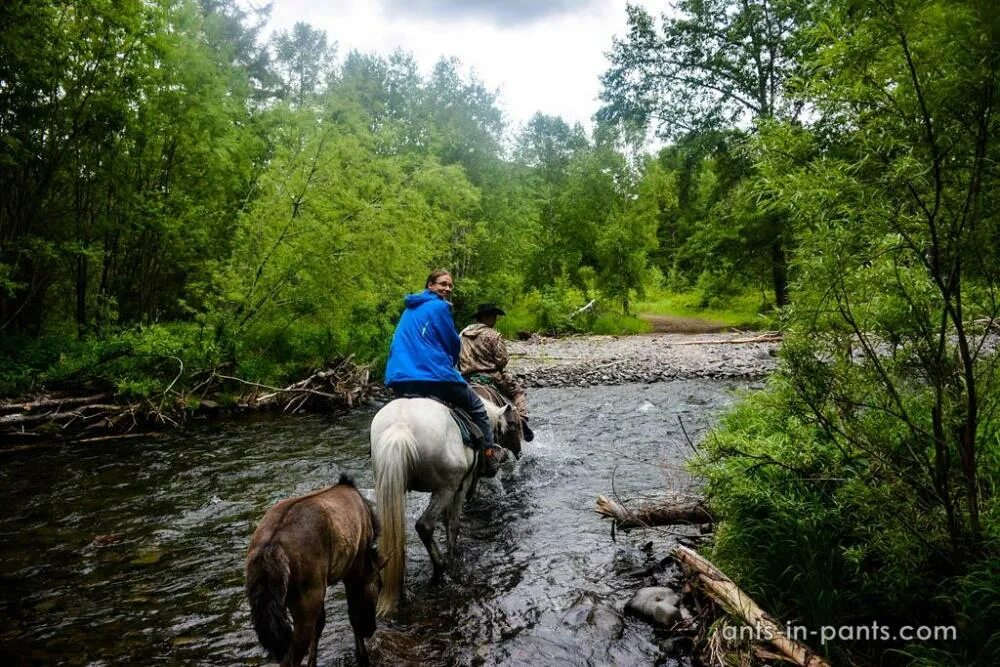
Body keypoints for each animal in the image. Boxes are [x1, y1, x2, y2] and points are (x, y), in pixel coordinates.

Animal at [244, 474, 380, 667]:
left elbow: (321, 624)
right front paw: (362, 657)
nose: (371, 629)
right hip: (306, 602)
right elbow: (352, 615)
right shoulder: (353, 570)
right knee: (291, 657)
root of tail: (271, 548)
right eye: (379, 586)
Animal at [370, 394, 516, 620]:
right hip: (446, 486)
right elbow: (453, 524)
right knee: (424, 525)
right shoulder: (461, 486)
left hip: (390, 482)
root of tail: (400, 426)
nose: (502, 455)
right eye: (500, 430)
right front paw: (452, 555)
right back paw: (440, 570)